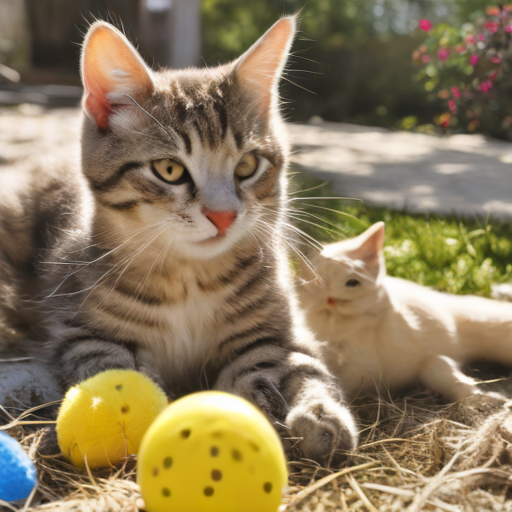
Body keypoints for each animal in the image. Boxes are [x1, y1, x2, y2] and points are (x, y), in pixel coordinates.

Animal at [0, 18, 358, 464]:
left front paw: (321, 413)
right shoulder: (79, 332)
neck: (190, 278)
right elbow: (113, 367)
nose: (224, 215)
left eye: (247, 165)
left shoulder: (280, 334)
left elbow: (303, 367)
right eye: (169, 170)